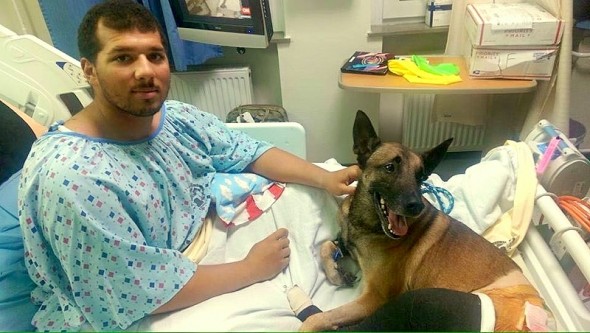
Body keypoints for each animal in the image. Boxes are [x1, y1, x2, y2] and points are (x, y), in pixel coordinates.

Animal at [302, 111, 552, 330]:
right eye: (390, 167)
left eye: (421, 176)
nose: (416, 206)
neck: (365, 223)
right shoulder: (346, 242)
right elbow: (326, 245)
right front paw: (336, 273)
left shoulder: (375, 297)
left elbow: (317, 319)